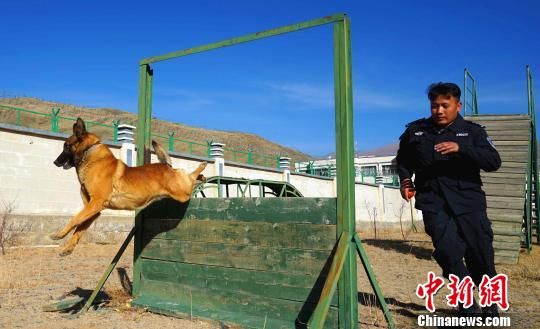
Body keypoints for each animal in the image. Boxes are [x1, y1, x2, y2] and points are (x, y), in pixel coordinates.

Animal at [52, 116, 208, 255]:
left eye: (66, 146)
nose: (55, 162)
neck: (89, 153)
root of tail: (166, 166)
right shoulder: (93, 209)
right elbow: (79, 228)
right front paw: (68, 248)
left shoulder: (95, 203)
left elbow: (75, 219)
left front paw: (59, 234)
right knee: (190, 177)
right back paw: (202, 176)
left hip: (183, 193)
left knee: (190, 177)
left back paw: (202, 166)